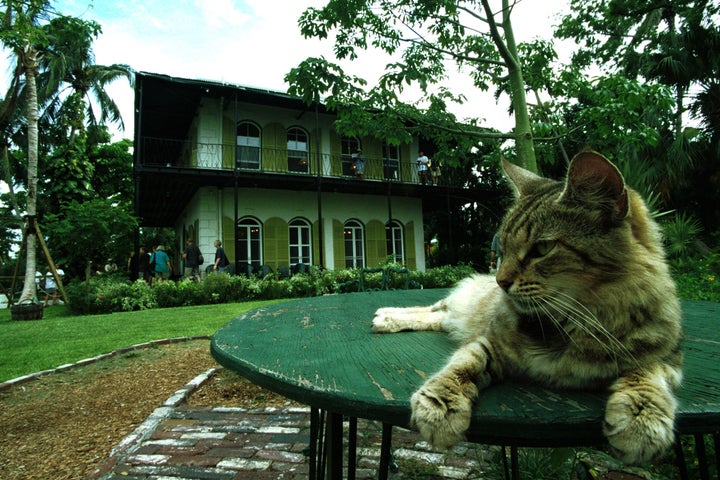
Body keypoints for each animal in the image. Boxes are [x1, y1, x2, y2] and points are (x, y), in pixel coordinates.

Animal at [374, 151, 684, 464]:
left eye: (542, 249)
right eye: (503, 249)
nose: (500, 282)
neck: (576, 324)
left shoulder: (665, 357)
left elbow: (646, 377)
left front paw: (641, 420)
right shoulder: (492, 342)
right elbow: (462, 367)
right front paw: (441, 405)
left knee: (437, 317)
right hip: (458, 303)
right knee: (432, 308)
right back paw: (385, 316)